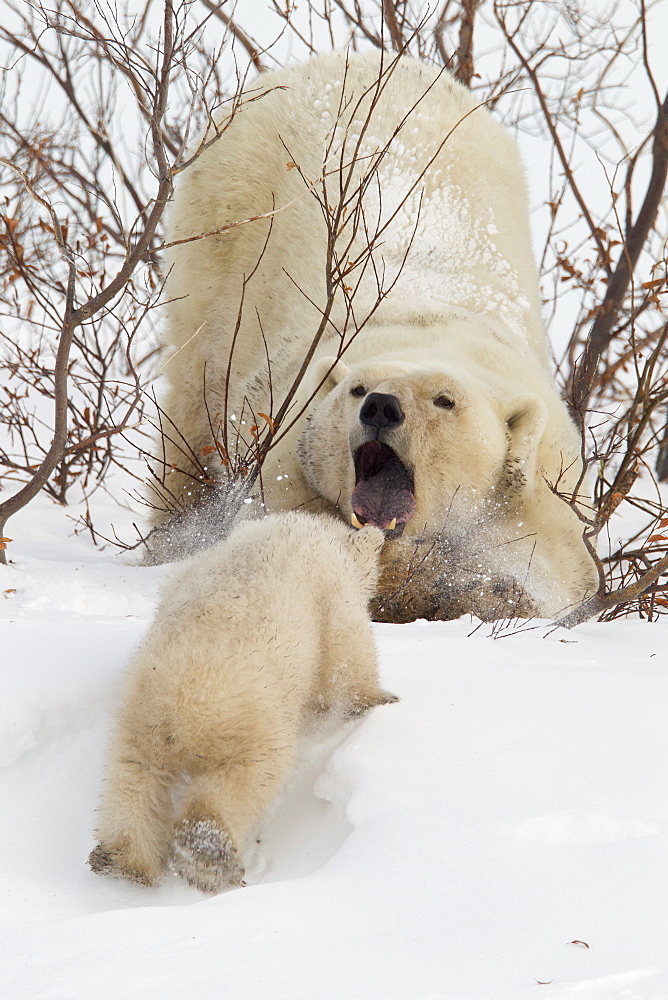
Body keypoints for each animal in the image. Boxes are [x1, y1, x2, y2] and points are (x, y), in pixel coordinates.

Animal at [86, 516, 394, 892]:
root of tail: (178, 710)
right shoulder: (332, 589)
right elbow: (346, 654)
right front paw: (378, 700)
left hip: (139, 720)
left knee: (134, 774)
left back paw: (122, 861)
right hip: (244, 718)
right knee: (249, 774)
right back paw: (209, 856)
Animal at [149, 52, 596, 624]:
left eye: (445, 400)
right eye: (357, 388)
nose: (382, 407)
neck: (434, 333)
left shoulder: (540, 493)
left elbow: (554, 575)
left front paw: (469, 588)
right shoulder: (288, 452)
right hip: (223, 226)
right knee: (193, 399)